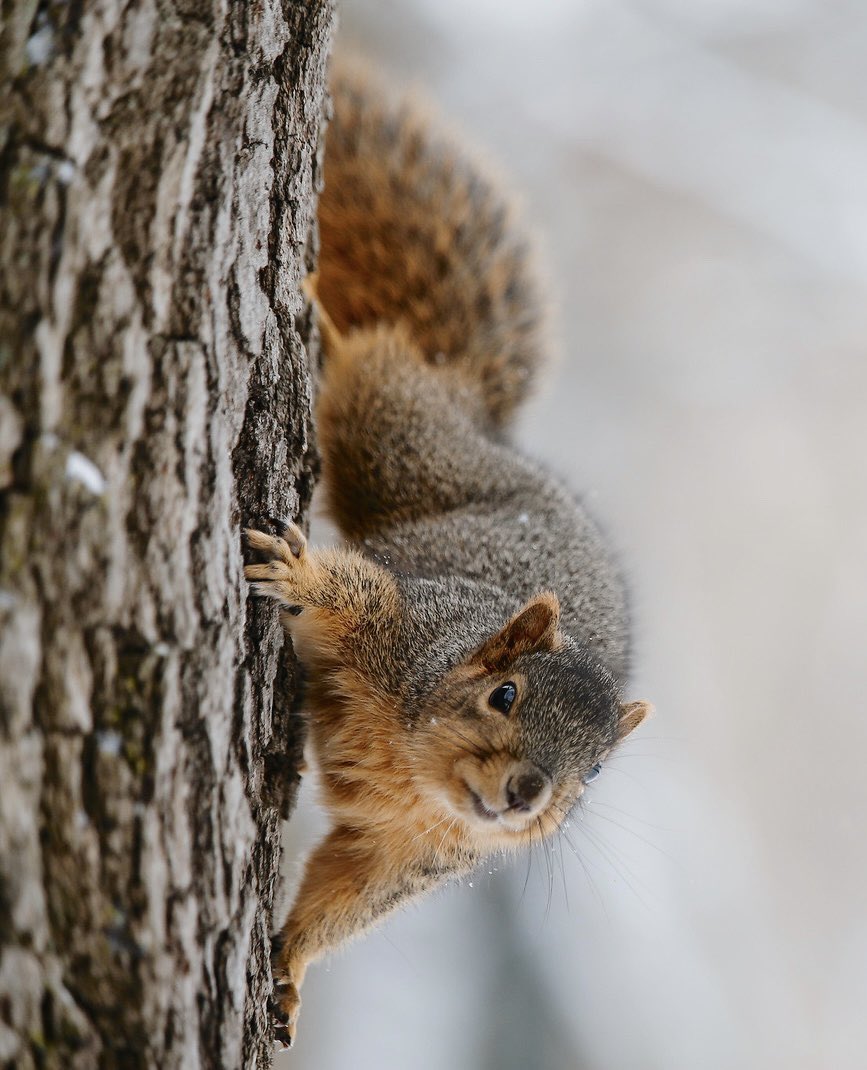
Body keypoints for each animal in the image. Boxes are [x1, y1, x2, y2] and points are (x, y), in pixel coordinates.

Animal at [244, 59, 653, 1049]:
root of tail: (488, 426)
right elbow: (358, 589)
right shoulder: (408, 620)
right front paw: (301, 572)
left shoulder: (408, 856)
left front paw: (288, 969)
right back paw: (322, 315)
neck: (416, 769)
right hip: (401, 444)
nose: (525, 792)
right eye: (503, 694)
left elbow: (347, 896)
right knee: (379, 367)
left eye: (591, 775)